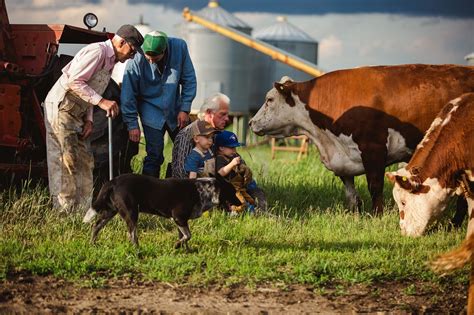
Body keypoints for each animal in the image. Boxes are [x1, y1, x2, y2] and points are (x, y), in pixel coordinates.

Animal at [82, 174, 243, 251]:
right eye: (233, 192)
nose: (241, 203)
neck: (203, 191)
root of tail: (113, 181)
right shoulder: (178, 218)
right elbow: (188, 235)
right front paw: (177, 246)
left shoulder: (181, 221)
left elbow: (184, 237)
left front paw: (185, 250)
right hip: (131, 212)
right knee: (132, 235)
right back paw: (138, 250)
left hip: (110, 211)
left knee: (96, 226)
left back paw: (92, 244)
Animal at [248, 64, 474, 215]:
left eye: (269, 100)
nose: (251, 122)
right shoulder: (343, 159)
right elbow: (351, 193)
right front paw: (353, 213)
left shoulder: (374, 149)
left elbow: (375, 186)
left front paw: (376, 215)